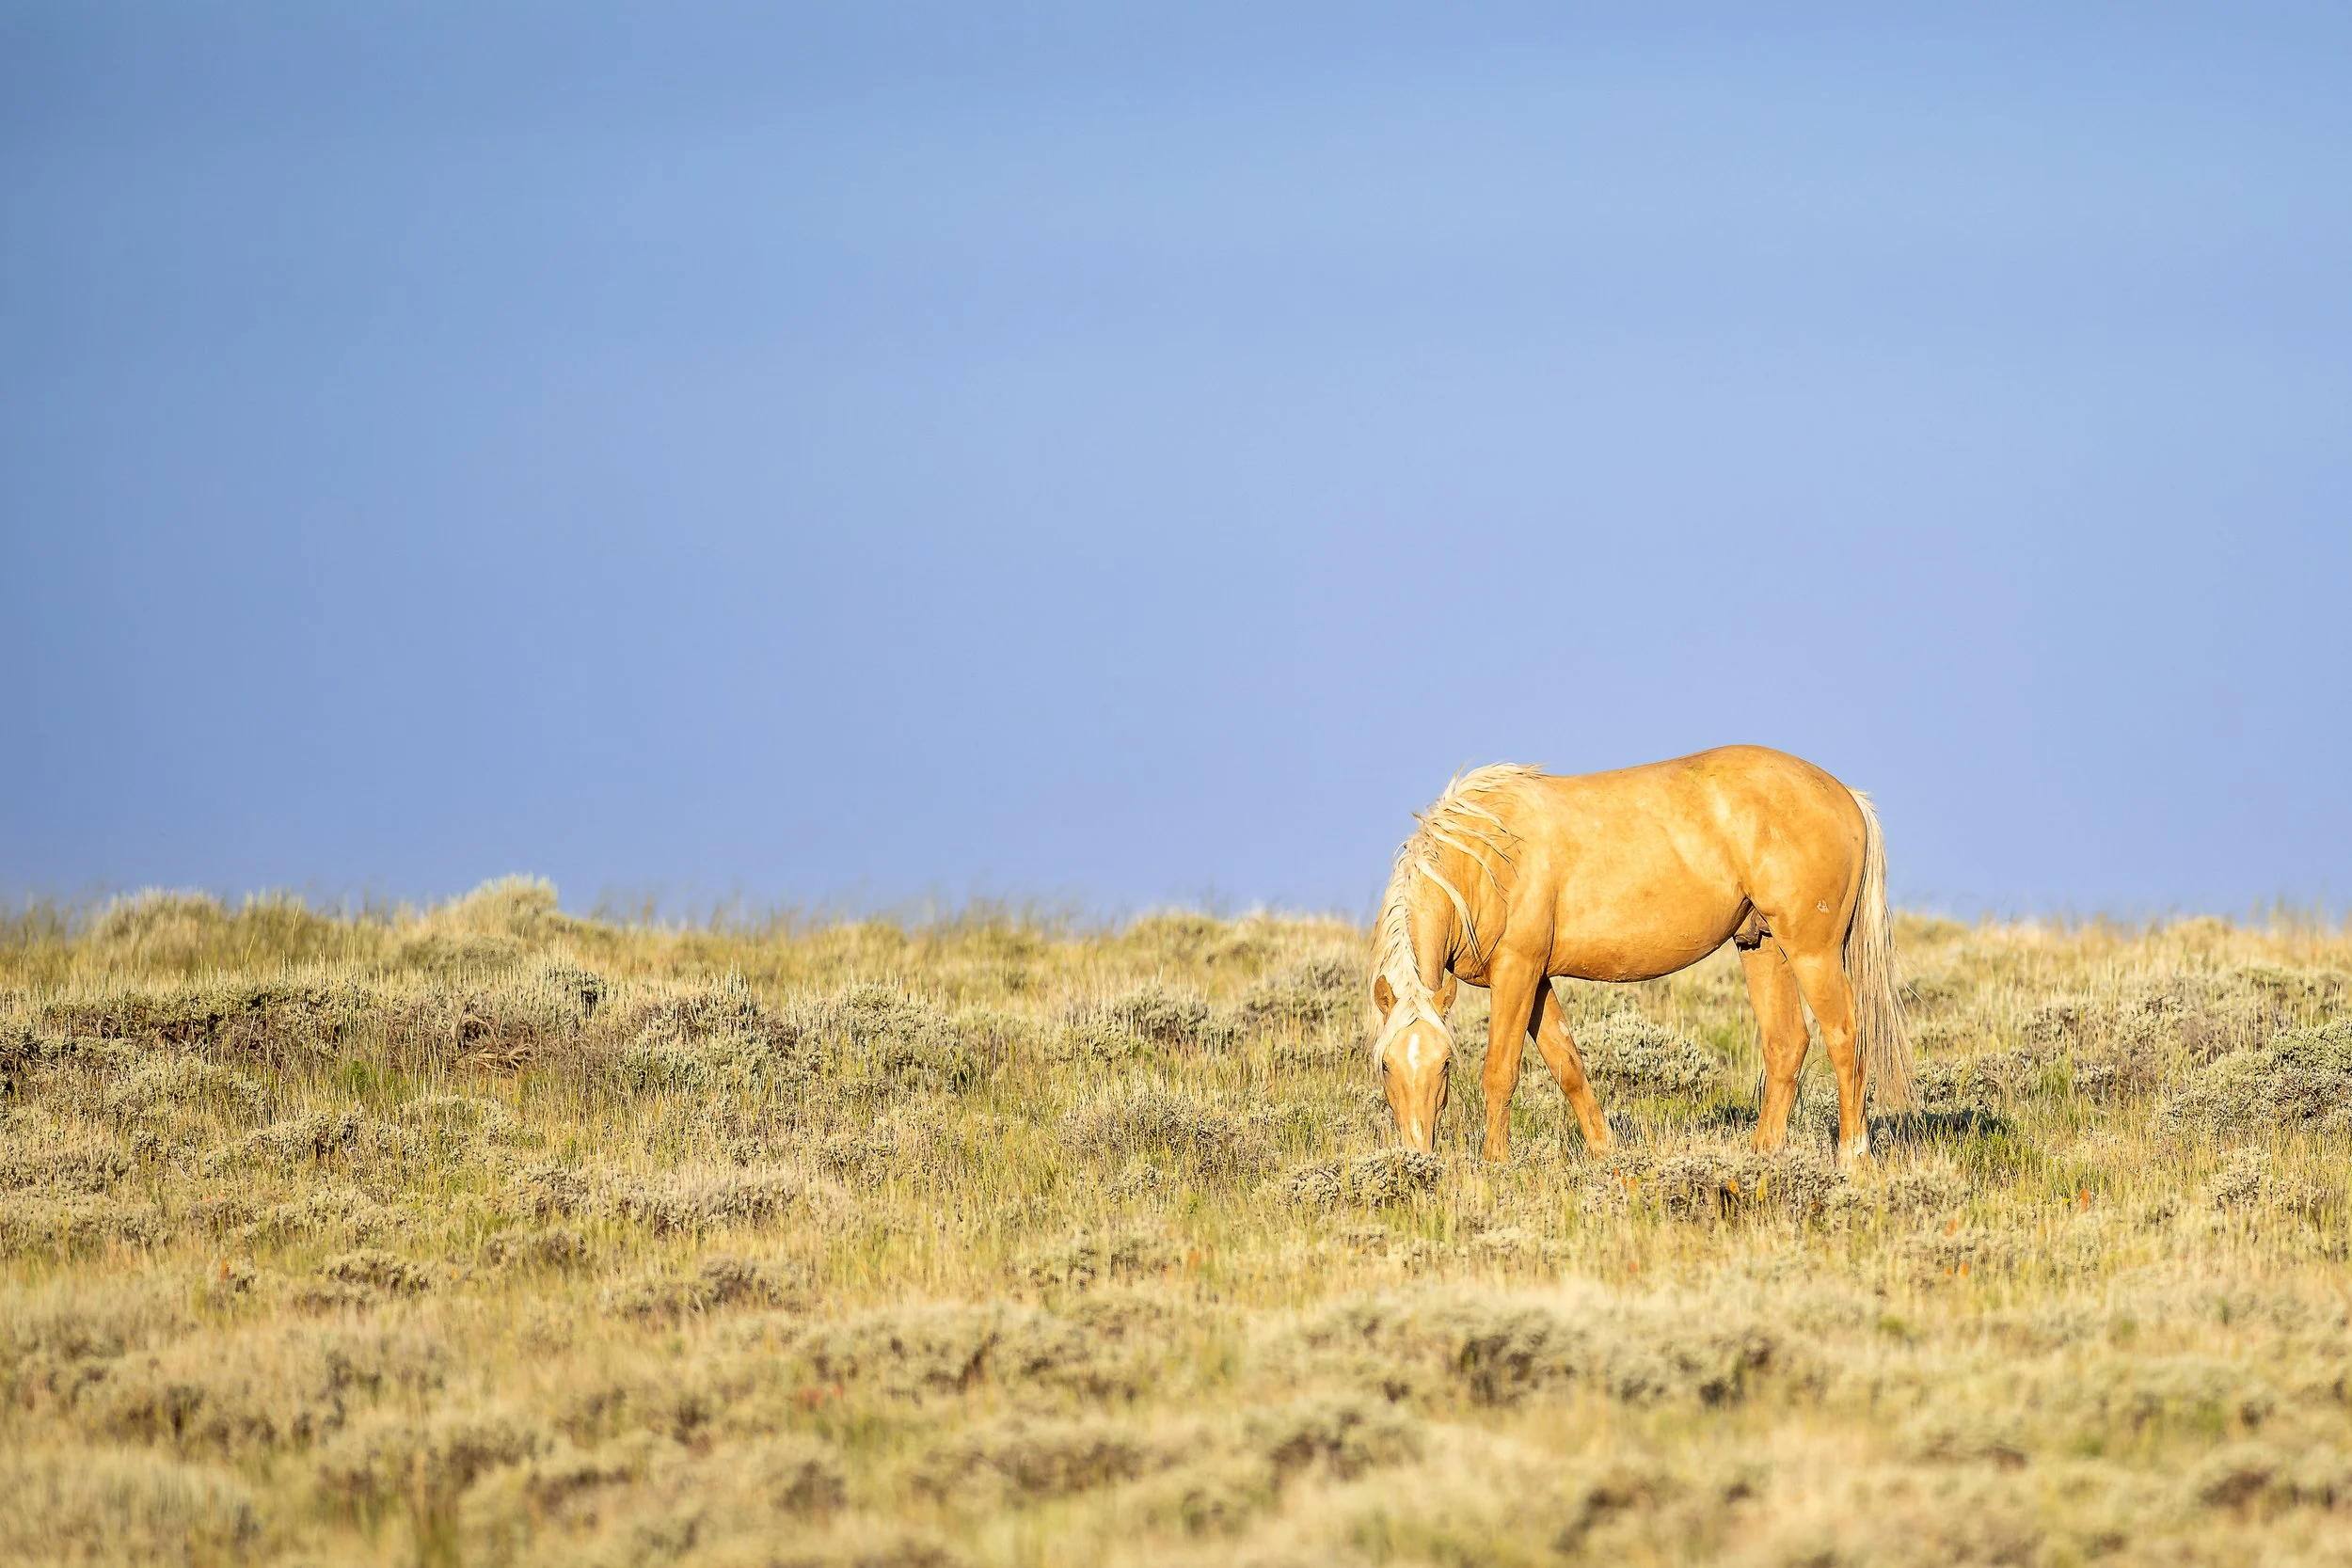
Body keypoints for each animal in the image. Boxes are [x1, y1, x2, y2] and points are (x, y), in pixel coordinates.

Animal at [1368, 745, 1913, 1167]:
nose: (1416, 1157)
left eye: (1445, 1065)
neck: (1485, 856)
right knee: (1786, 1044)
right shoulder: (1538, 981)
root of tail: (1846, 795)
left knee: (1845, 1036)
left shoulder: (1517, 972)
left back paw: (1851, 1156)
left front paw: (1493, 1166)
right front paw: (1605, 1154)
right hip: (1763, 947)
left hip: (1812, 953)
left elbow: (1500, 1072)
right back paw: (1763, 1156)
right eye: (1386, 1066)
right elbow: (1569, 1066)